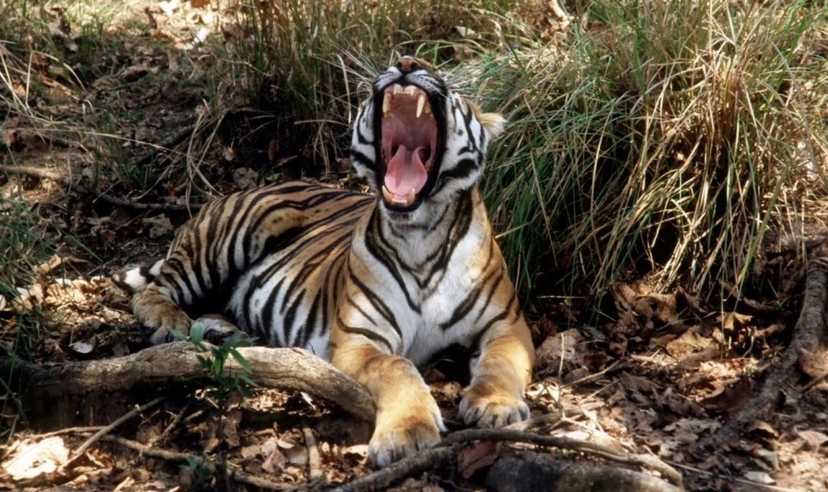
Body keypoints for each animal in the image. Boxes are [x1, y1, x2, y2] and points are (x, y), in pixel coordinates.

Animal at [117, 56, 534, 467]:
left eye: (450, 81)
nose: (406, 62)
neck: (421, 235)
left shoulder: (506, 326)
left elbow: (500, 364)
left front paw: (496, 406)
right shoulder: (359, 339)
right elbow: (398, 367)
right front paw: (407, 434)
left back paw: (222, 332)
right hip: (226, 239)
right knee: (153, 291)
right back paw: (169, 321)